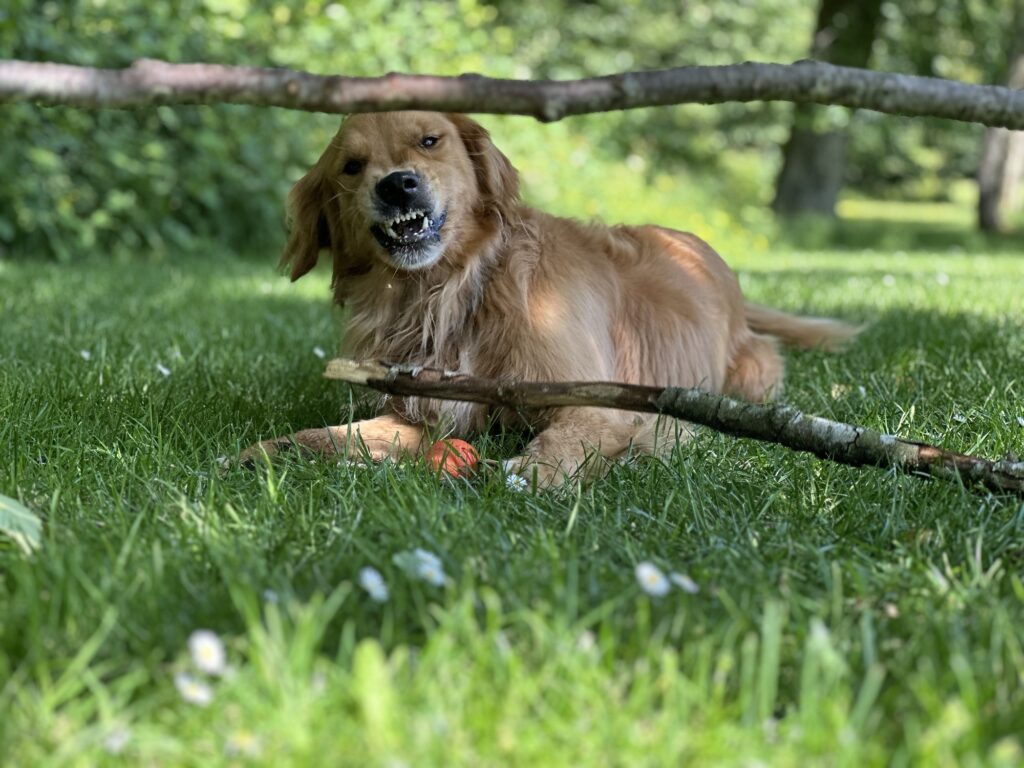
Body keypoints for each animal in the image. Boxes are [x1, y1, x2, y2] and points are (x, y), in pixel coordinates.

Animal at [243, 112, 860, 487]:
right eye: (351, 167)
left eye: (429, 140)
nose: (396, 184)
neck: (451, 293)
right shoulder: (426, 407)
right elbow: (347, 435)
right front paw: (275, 449)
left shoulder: (597, 401)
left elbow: (568, 439)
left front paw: (530, 474)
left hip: (752, 373)